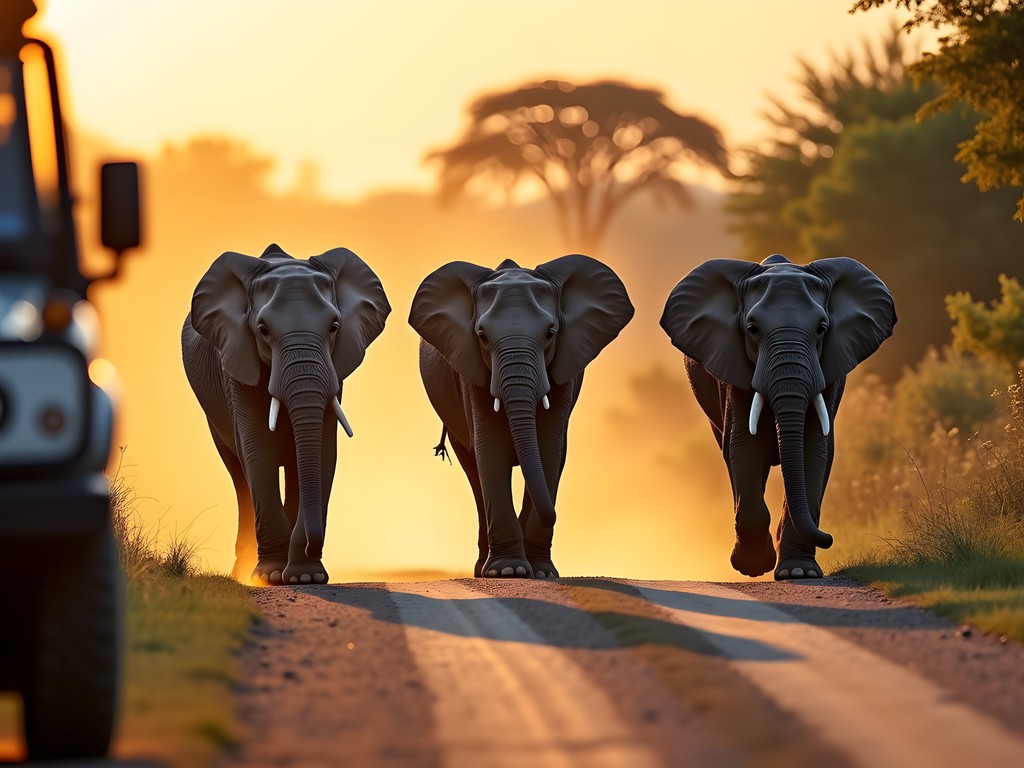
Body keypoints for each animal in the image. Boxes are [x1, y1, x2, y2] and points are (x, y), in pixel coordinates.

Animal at [181, 244, 390, 585]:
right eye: (263, 330)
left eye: (334, 328)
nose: (310, 547)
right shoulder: (237, 362)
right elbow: (258, 451)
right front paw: (272, 576)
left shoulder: (335, 368)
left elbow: (323, 451)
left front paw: (305, 577)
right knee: (239, 475)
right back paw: (243, 574)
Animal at [410, 255, 633, 578]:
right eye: (482, 336)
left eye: (550, 334)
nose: (554, 516)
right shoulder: (471, 369)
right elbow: (489, 448)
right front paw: (508, 571)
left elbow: (549, 447)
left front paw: (541, 573)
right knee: (473, 470)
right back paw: (483, 569)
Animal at [660, 254, 895, 580]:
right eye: (752, 328)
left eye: (822, 328)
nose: (830, 538)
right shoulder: (734, 372)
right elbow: (744, 448)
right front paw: (753, 565)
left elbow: (814, 450)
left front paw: (798, 573)